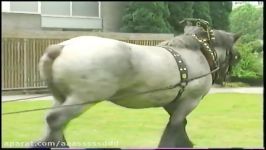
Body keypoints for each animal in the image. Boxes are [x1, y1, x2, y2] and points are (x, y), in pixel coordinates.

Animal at [34, 25, 240, 148]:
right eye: (235, 55)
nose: (225, 77)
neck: (198, 52)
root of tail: (61, 47)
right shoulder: (190, 100)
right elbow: (175, 125)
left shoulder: (173, 102)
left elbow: (179, 123)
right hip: (82, 99)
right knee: (55, 120)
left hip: (61, 97)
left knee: (53, 123)